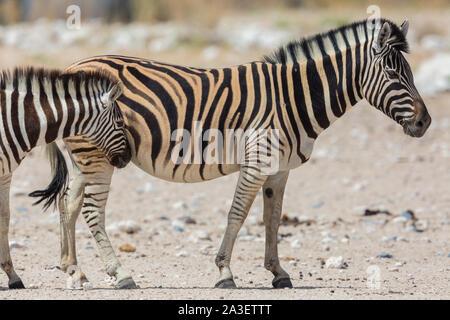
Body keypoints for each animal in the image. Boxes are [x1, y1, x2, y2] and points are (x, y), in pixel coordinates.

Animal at [0, 66, 132, 288]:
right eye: (121, 122)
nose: (128, 158)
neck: (14, 121)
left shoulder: (5, 173)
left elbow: (4, 217)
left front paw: (12, 275)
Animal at [40, 18, 430, 290]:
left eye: (409, 72)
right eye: (393, 73)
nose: (425, 122)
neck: (294, 98)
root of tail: (71, 68)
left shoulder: (280, 169)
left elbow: (273, 219)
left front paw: (278, 272)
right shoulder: (257, 162)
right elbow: (238, 215)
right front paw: (225, 271)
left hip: (86, 158)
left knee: (68, 204)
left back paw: (74, 271)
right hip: (97, 157)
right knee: (91, 211)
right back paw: (120, 274)